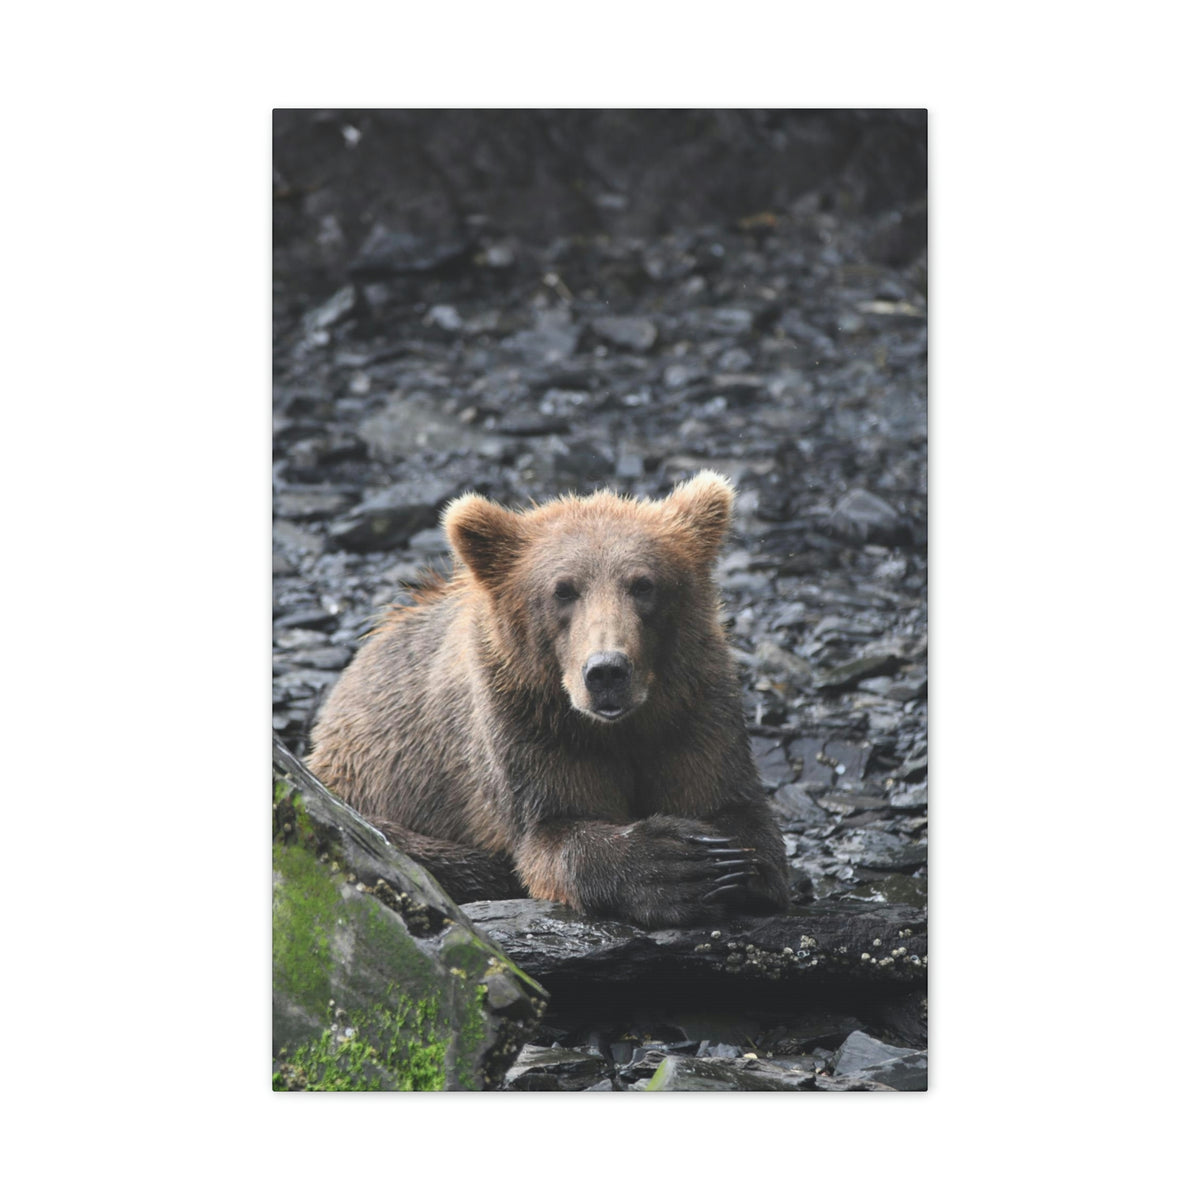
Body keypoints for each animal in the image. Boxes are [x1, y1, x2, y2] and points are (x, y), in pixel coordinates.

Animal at [306, 471, 789, 929]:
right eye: (563, 589)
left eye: (643, 585)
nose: (607, 671)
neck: (618, 727)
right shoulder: (527, 723)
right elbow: (552, 831)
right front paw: (674, 865)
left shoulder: (693, 707)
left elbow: (733, 806)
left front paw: (726, 861)